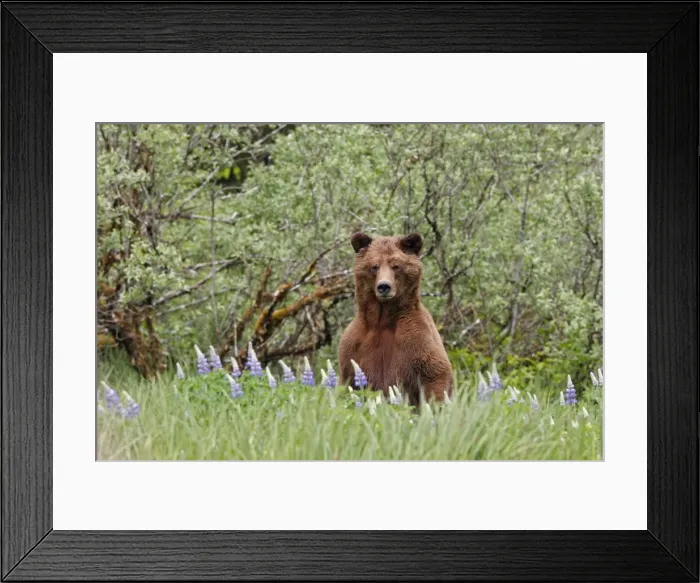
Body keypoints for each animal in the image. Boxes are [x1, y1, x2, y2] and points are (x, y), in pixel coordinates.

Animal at [337, 231, 453, 406]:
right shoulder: (355, 347)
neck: (382, 319)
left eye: (396, 265)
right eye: (374, 266)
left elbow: (434, 374)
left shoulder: (415, 340)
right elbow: (348, 380)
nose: (384, 286)